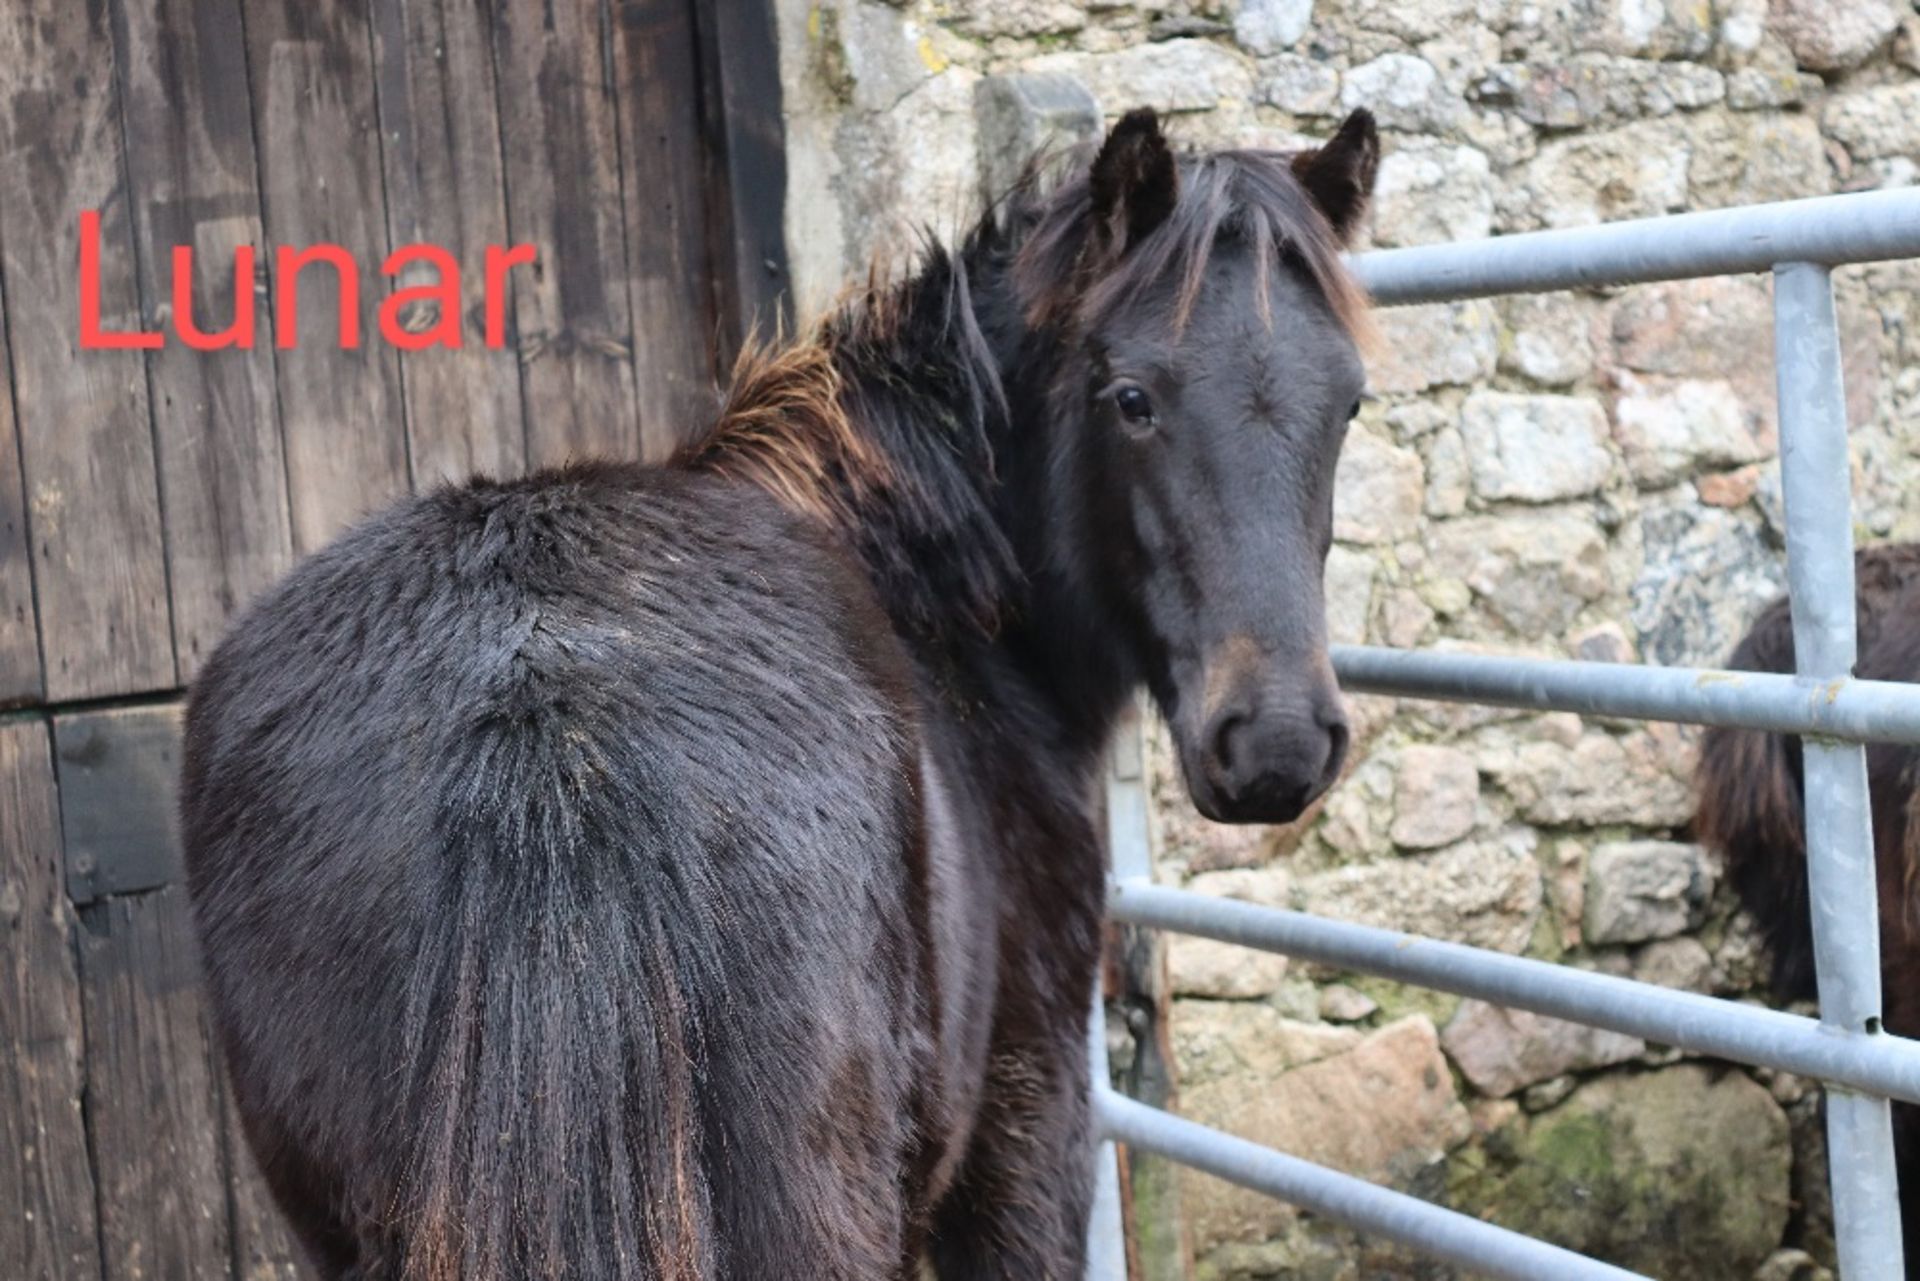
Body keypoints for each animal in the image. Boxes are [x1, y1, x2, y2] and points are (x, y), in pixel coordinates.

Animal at [180, 110, 1382, 1281]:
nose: (1275, 743)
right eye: (1132, 399)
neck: (927, 582)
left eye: (1351, 407)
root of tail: (537, 706)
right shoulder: (1033, 1114)